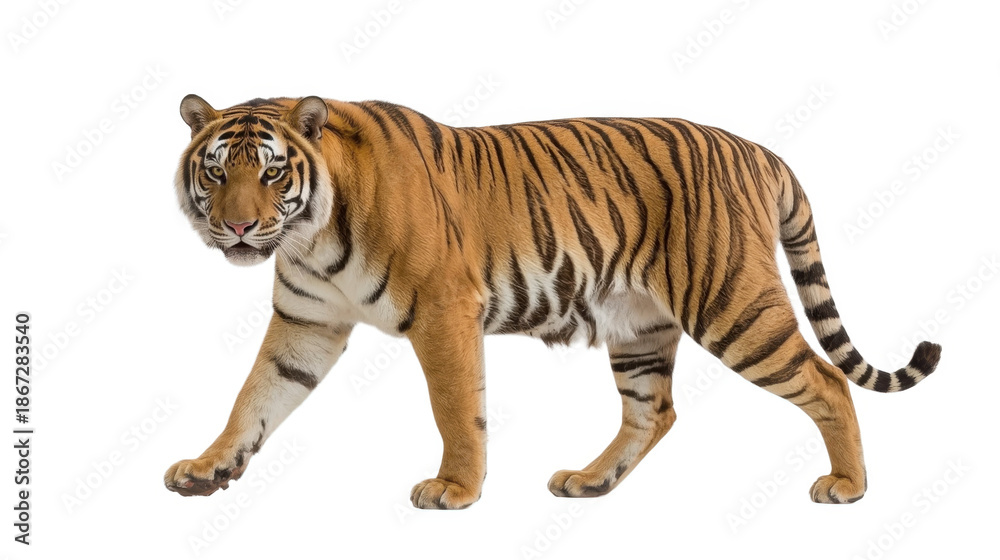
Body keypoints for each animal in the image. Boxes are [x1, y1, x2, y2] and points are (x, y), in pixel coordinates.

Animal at [164, 94, 942, 509]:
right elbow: (255, 396)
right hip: (639, 327)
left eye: (271, 173)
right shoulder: (307, 321)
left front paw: (454, 489)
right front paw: (208, 466)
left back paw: (847, 485)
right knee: (653, 411)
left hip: (732, 304)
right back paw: (590, 481)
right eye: (216, 171)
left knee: (829, 381)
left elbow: (456, 409)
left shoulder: (444, 312)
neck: (310, 235)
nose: (238, 227)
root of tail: (759, 150)